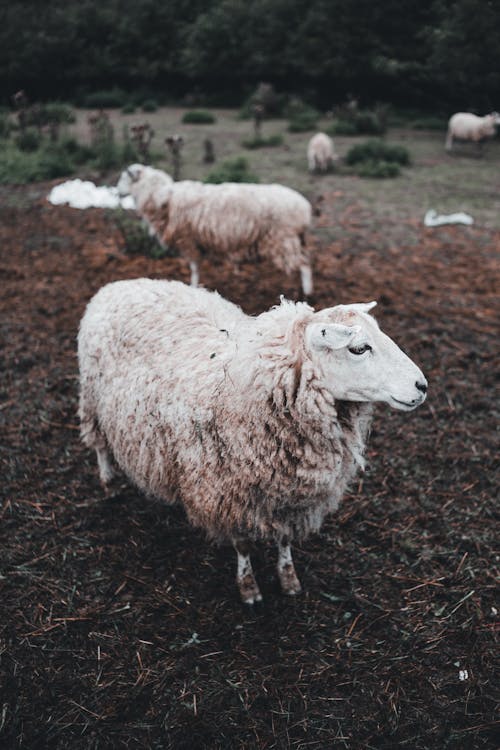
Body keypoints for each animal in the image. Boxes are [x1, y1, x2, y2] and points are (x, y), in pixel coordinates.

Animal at [78, 280, 426, 604]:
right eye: (358, 349)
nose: (421, 386)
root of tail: (119, 285)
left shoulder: (289, 497)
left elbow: (284, 540)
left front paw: (288, 578)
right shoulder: (228, 496)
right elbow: (242, 544)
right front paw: (248, 588)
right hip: (92, 399)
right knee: (99, 445)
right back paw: (108, 482)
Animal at [116, 164, 312, 296]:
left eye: (125, 178)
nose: (117, 192)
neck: (162, 196)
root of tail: (304, 206)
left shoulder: (187, 240)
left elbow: (194, 268)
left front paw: (193, 288)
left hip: (283, 238)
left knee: (304, 264)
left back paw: (306, 293)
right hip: (294, 239)